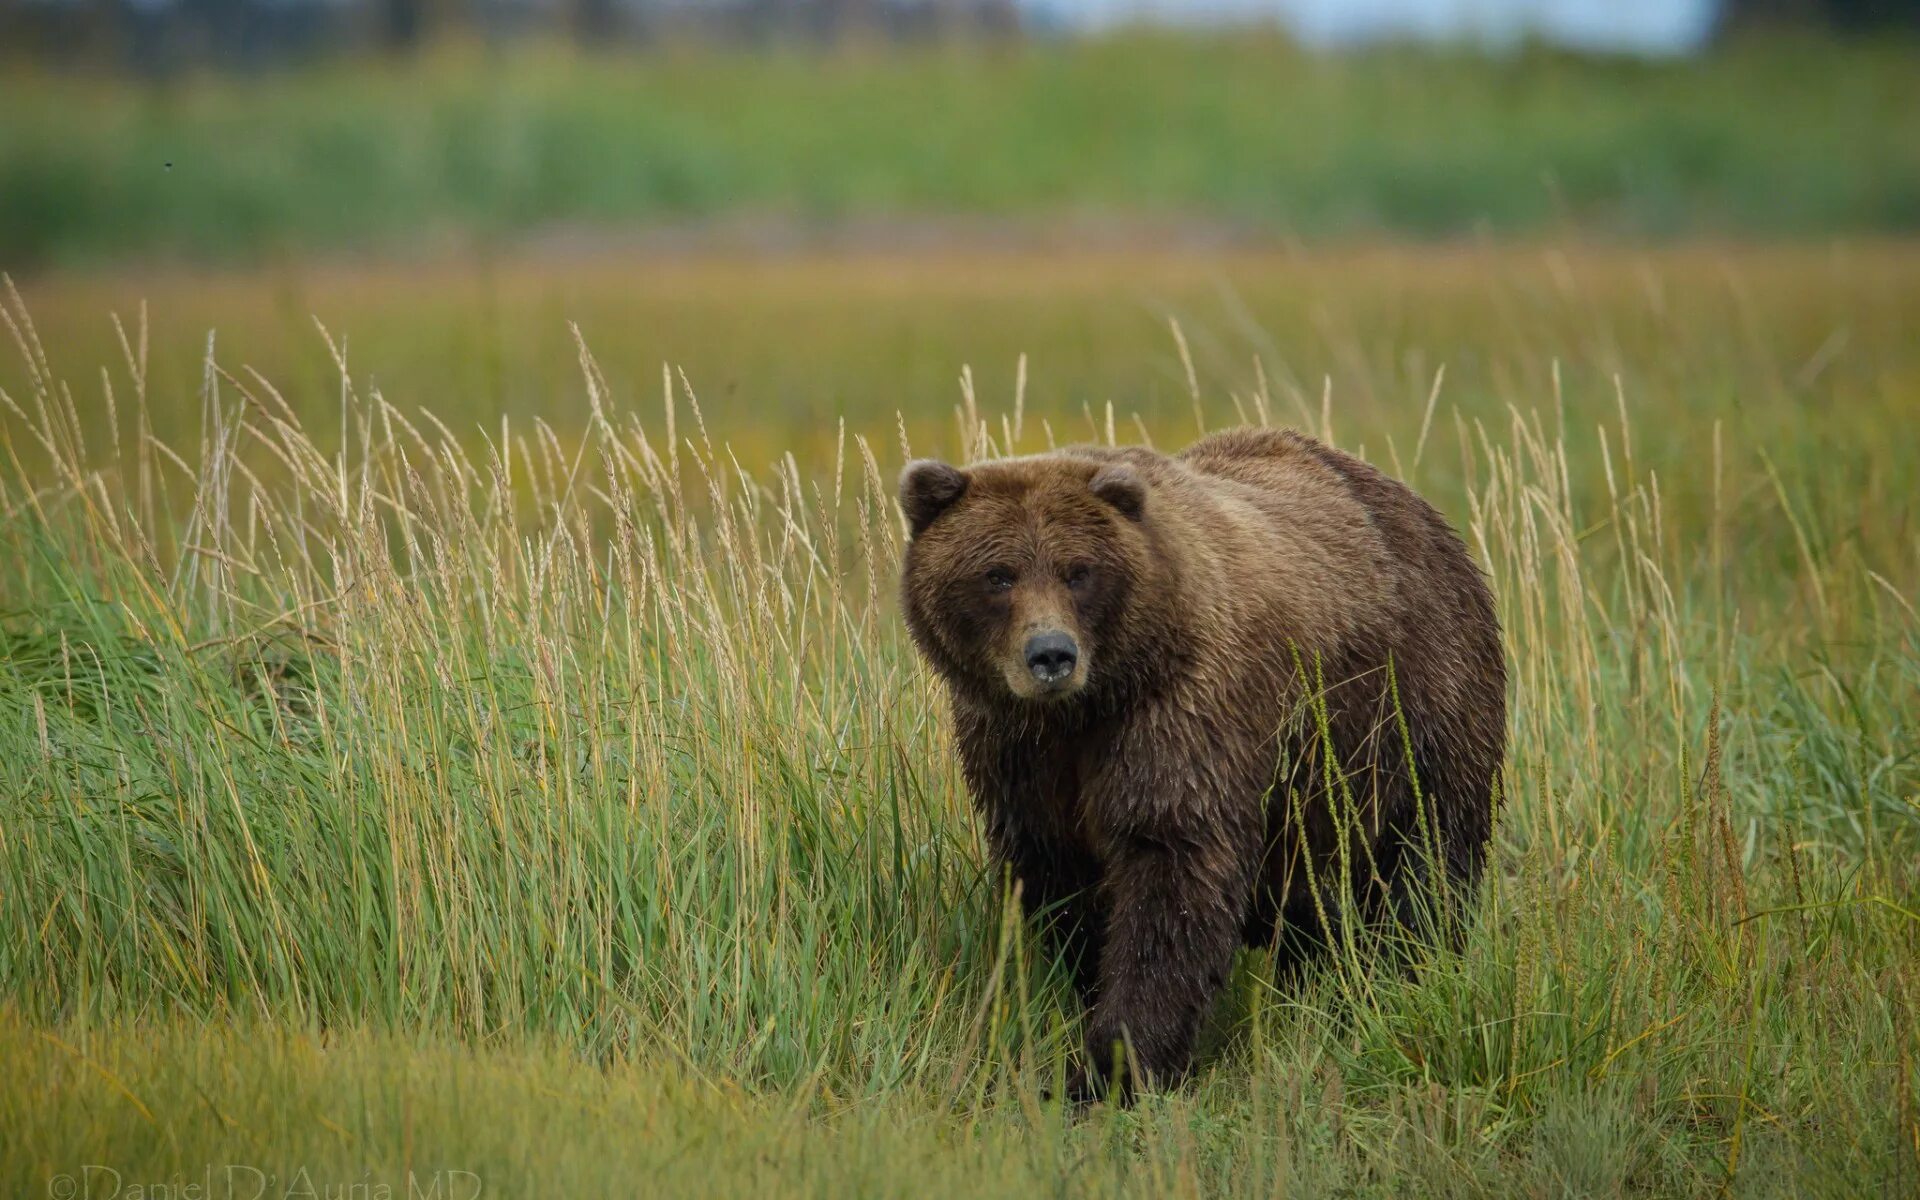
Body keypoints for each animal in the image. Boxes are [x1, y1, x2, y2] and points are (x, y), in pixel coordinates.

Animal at [902, 426, 1512, 1098]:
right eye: (998, 574)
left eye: (1079, 571)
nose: (1051, 655)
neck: (1089, 706)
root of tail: (1426, 516)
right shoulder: (1019, 754)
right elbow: (1063, 880)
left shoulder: (1183, 716)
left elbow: (1171, 875)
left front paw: (1115, 1067)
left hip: (1411, 707)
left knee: (1426, 857)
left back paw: (1404, 975)